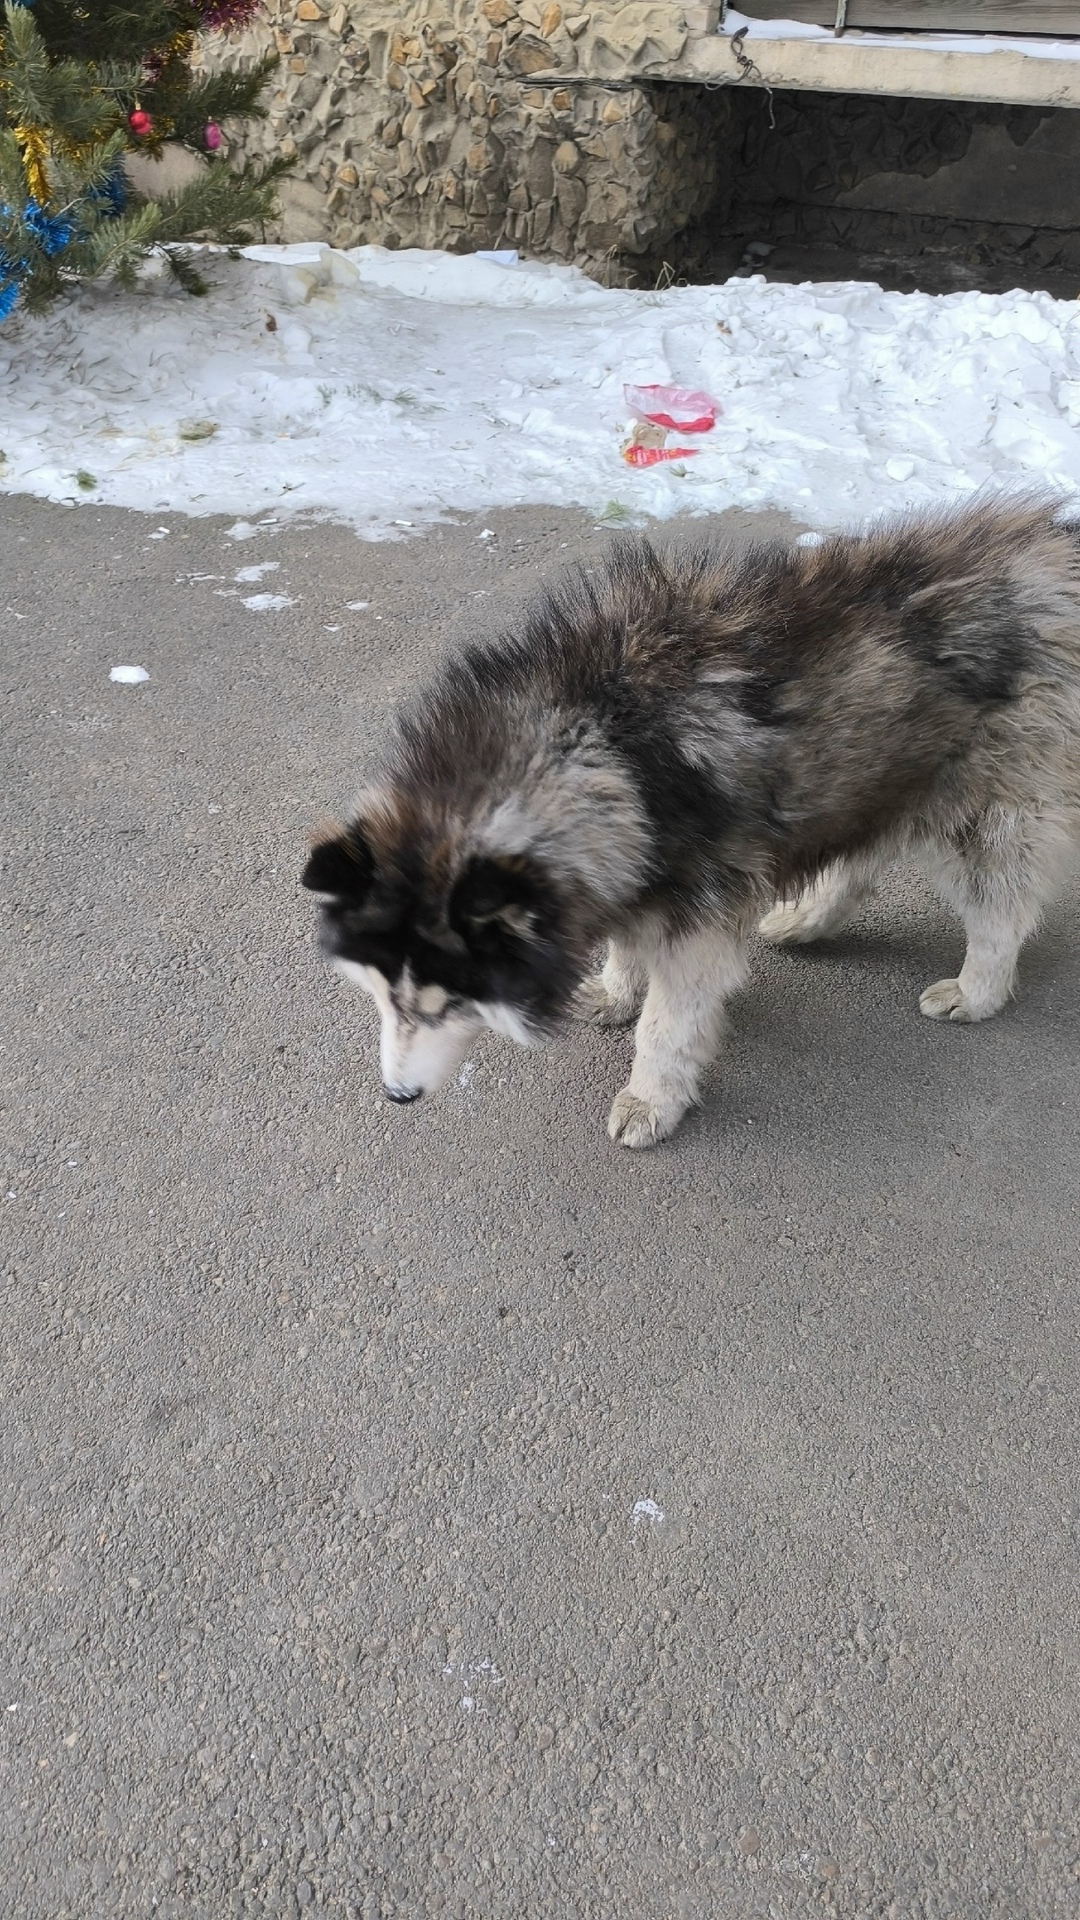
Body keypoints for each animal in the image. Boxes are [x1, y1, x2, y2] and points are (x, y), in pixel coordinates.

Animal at [302, 495, 1080, 1148]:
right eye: (383, 995)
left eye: (450, 1002)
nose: (398, 1096)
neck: (601, 742)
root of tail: (1050, 546)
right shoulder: (634, 868)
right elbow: (627, 946)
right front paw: (617, 987)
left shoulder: (693, 921)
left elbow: (667, 1027)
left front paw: (651, 1098)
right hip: (882, 772)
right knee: (859, 859)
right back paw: (804, 920)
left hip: (981, 812)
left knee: (1001, 910)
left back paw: (976, 991)